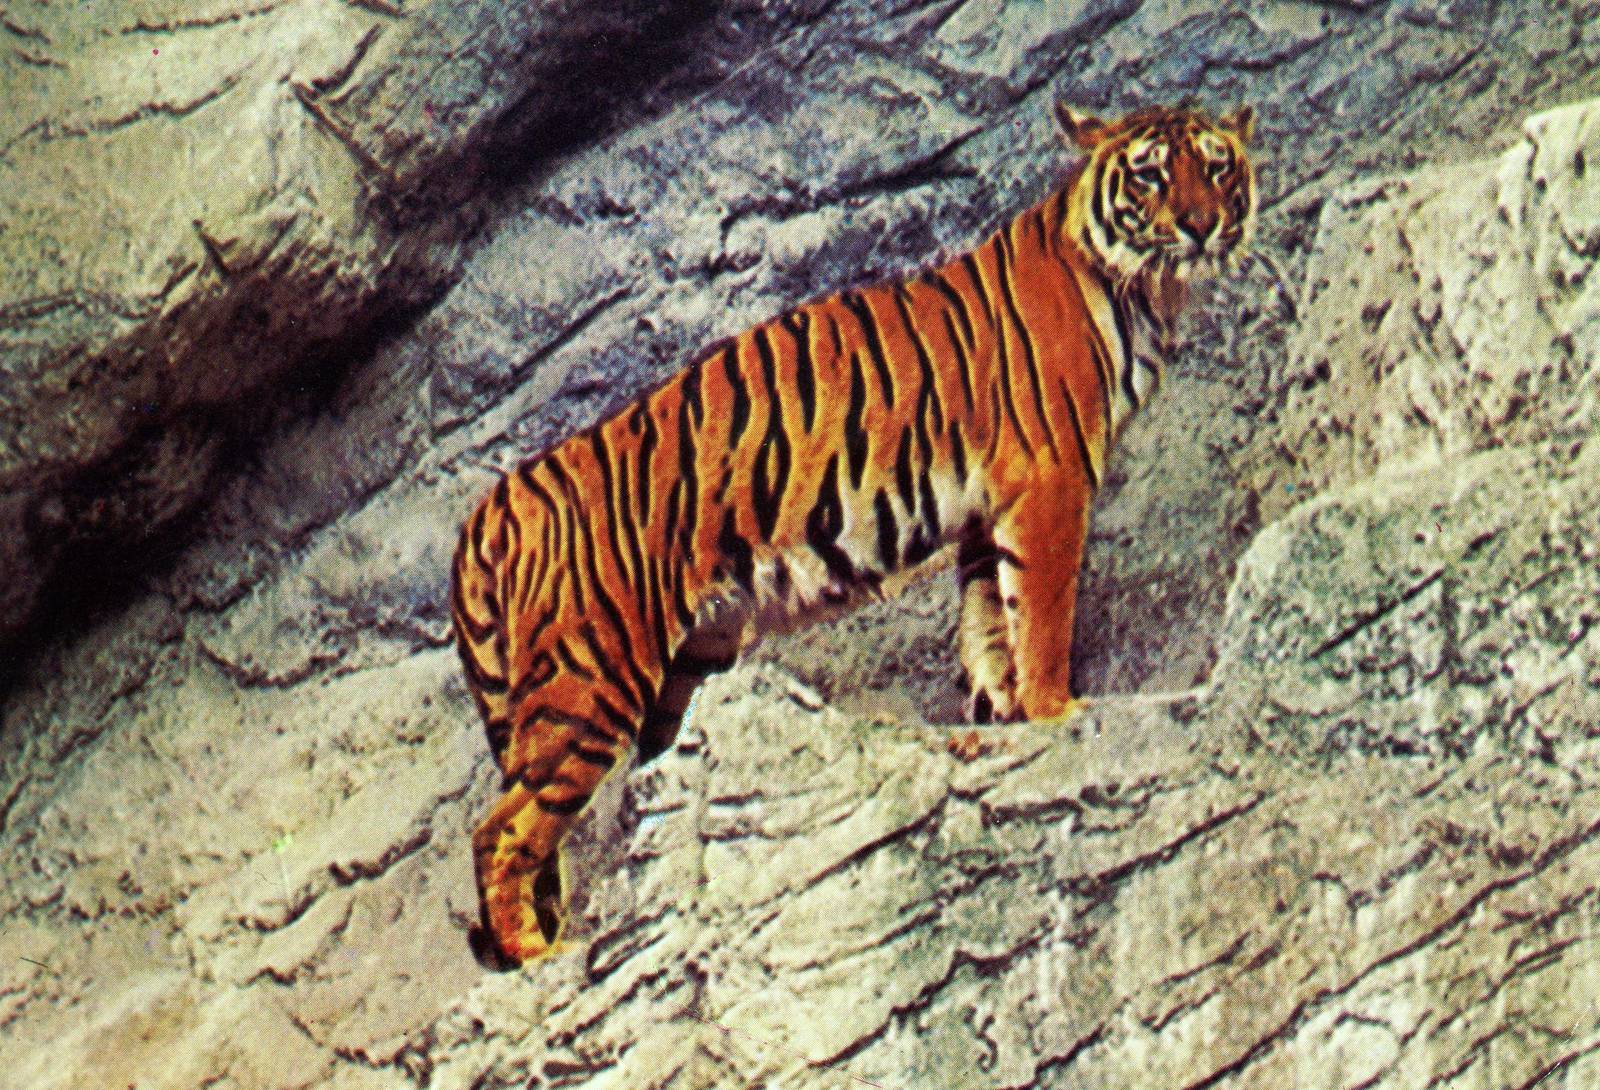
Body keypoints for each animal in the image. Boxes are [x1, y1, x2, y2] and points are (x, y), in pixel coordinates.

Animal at [451, 102, 1257, 969]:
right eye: (1150, 174)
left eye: (1216, 167)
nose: (1202, 225)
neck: (1144, 287)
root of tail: (494, 504)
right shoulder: (1049, 481)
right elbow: (1041, 613)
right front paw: (1055, 712)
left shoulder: (988, 508)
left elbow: (989, 619)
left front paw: (1003, 715)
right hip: (589, 672)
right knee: (502, 828)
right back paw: (537, 954)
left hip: (682, 667)